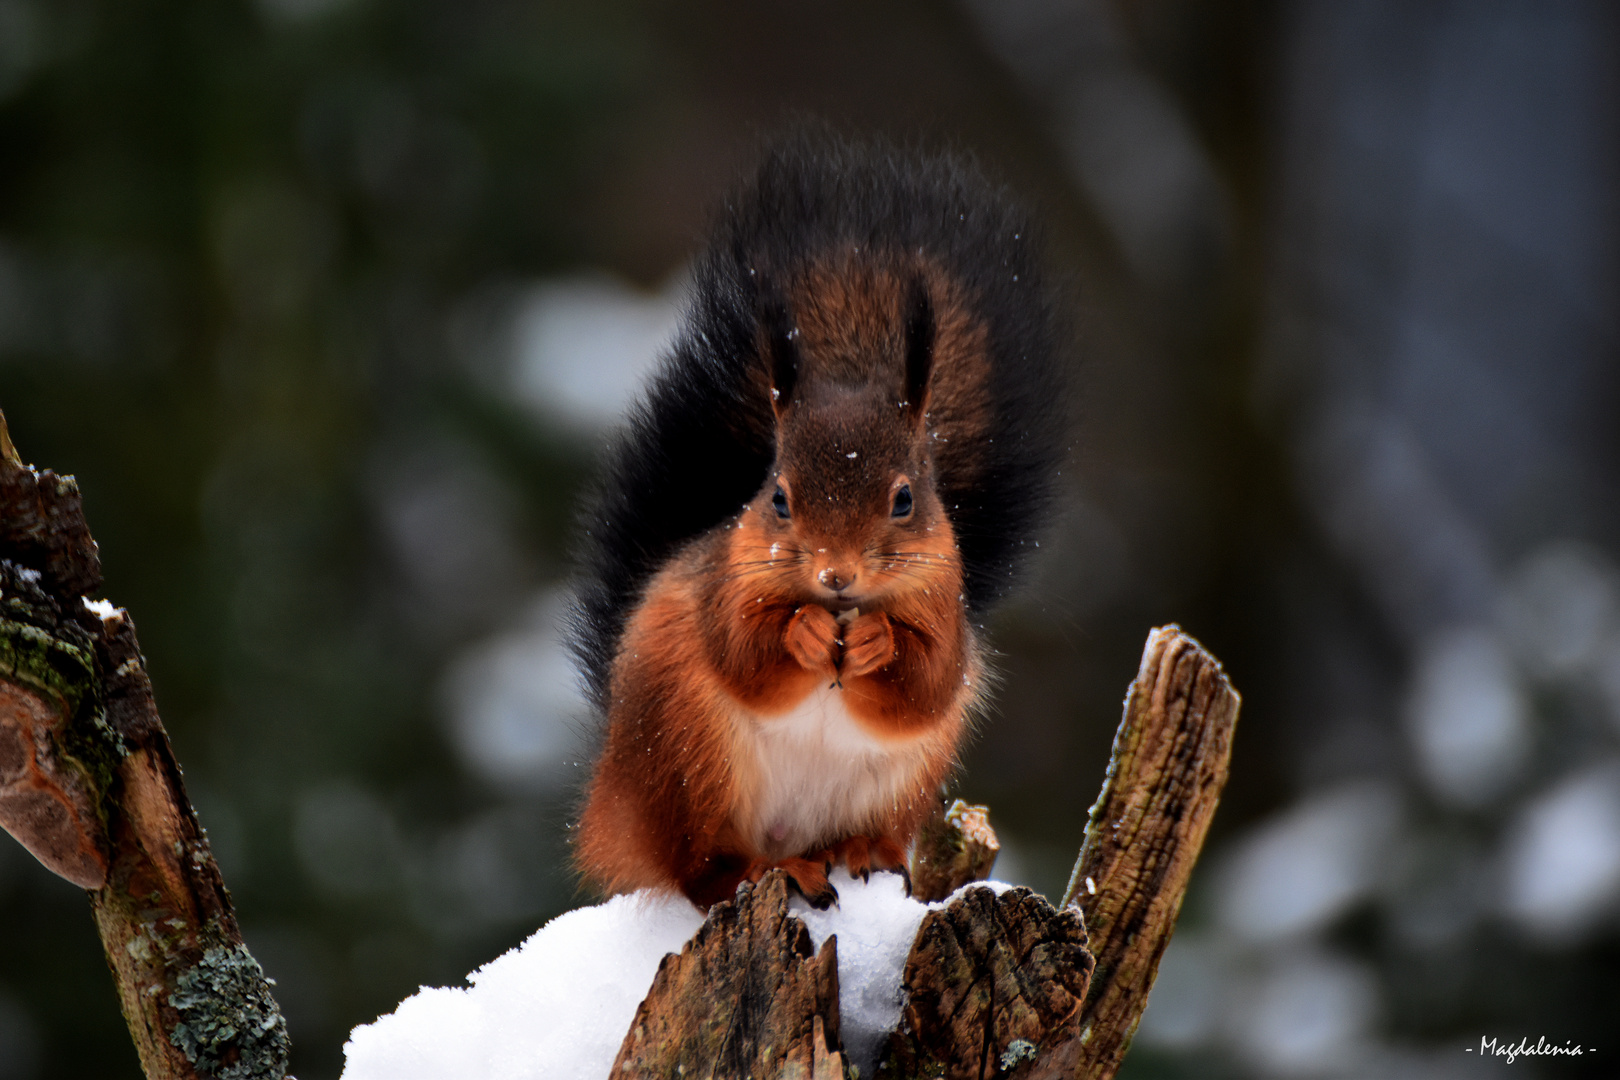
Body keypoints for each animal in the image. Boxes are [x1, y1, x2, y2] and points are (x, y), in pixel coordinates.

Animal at [567, 135, 1062, 913]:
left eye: (904, 499)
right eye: (778, 497)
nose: (836, 573)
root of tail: (619, 800)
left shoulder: (944, 611)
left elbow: (927, 682)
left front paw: (877, 642)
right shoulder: (722, 589)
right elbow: (743, 655)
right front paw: (799, 632)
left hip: (898, 782)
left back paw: (856, 851)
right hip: (692, 758)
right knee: (702, 872)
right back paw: (766, 871)